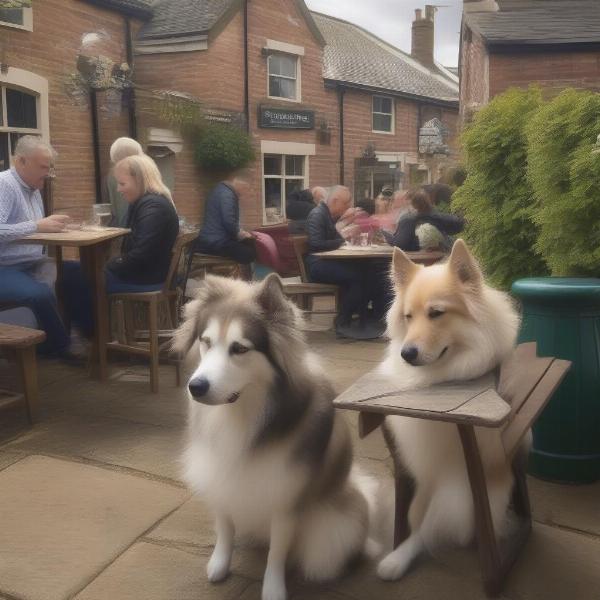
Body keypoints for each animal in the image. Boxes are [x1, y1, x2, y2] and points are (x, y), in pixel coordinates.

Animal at [171, 276, 376, 600]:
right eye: (206, 342)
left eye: (239, 348)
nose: (196, 387)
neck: (243, 414)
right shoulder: (220, 477)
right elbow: (225, 527)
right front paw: (220, 563)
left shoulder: (284, 498)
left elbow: (277, 553)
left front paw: (273, 588)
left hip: (332, 536)